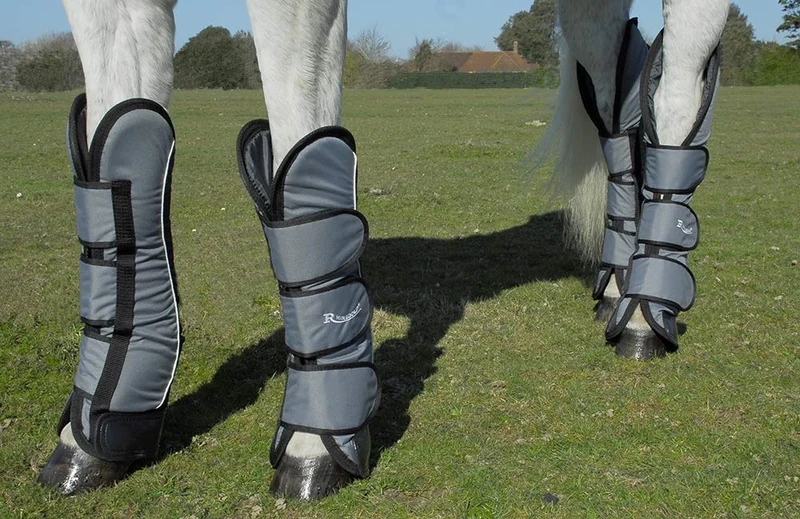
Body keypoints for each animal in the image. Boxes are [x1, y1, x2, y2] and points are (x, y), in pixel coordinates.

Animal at [37, 0, 729, 502]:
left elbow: (300, 143)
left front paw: (315, 445)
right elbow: (122, 123)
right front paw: (93, 435)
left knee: (676, 88)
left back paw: (646, 313)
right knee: (619, 91)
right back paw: (621, 288)